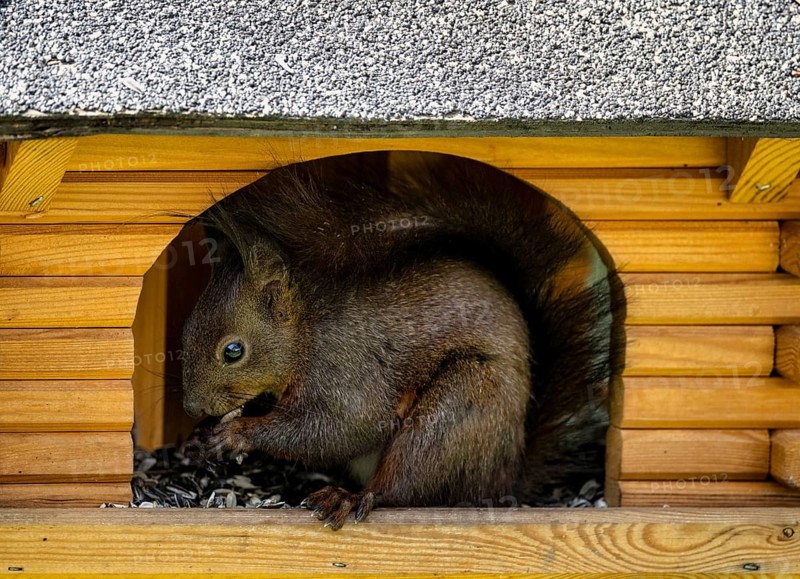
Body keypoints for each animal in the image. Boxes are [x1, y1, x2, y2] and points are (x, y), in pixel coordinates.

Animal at [181, 150, 626, 530]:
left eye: (233, 351)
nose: (191, 407)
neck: (305, 333)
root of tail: (505, 477)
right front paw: (202, 438)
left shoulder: (345, 367)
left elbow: (341, 426)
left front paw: (237, 433)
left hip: (457, 410)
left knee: (403, 484)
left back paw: (350, 497)